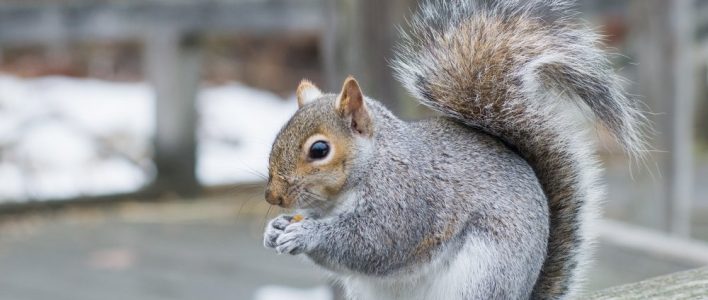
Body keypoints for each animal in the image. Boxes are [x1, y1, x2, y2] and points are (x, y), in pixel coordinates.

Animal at [262, 1, 648, 298]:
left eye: (319, 149)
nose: (272, 197)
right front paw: (276, 228)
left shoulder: (407, 199)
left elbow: (374, 242)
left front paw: (306, 234)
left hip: (483, 276)